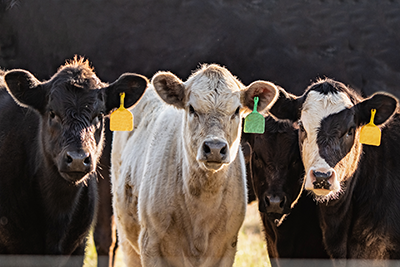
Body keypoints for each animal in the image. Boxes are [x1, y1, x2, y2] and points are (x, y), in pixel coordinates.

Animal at [109, 63, 278, 266]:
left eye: (237, 110)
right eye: (191, 108)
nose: (215, 148)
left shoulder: (227, 246)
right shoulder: (151, 244)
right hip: (127, 239)